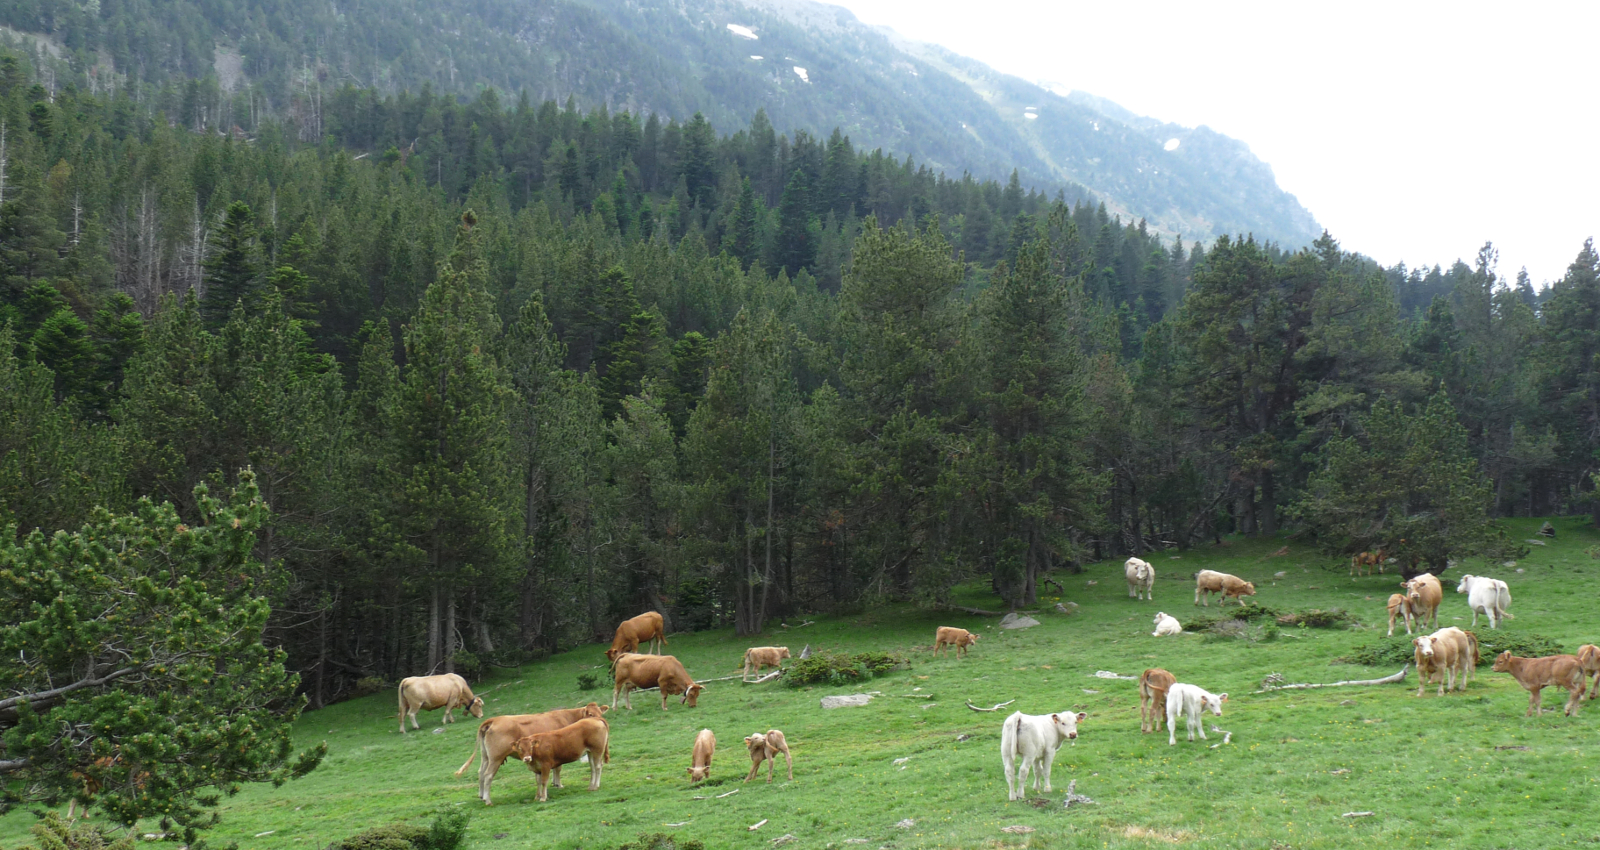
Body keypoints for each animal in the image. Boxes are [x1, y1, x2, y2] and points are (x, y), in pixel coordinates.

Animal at [460, 701, 614, 806]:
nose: (599, 719)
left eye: (600, 713)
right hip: (496, 758)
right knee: (488, 775)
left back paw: (481, 796)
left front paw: (554, 784)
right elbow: (558, 768)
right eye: (590, 714)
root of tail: (494, 719)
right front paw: (558, 784)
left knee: (481, 773)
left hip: (486, 756)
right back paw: (488, 800)